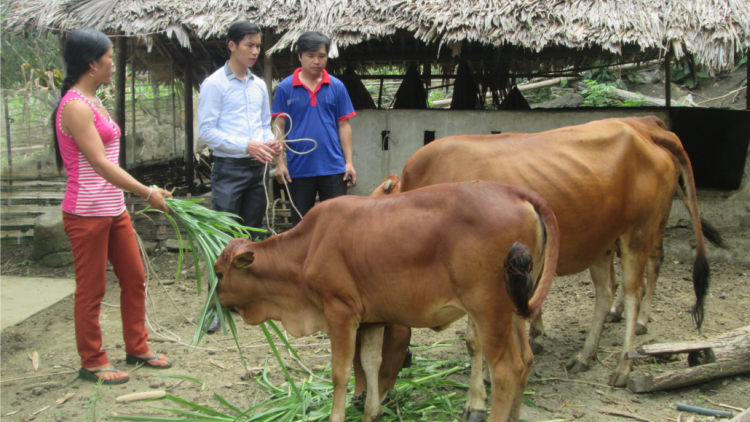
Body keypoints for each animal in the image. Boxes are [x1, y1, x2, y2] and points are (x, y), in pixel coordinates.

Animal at [214, 182, 560, 422]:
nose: (215, 300)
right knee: (526, 359)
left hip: (489, 310)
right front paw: (371, 412)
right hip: (513, 308)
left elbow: (341, 372)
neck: (307, 247)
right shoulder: (372, 320)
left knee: (507, 370)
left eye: (218, 273)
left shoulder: (339, 312)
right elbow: (371, 364)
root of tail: (514, 190)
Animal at [374, 115, 712, 406]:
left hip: (639, 234)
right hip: (601, 242)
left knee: (634, 292)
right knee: (605, 294)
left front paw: (479, 395)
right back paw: (585, 355)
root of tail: (643, 129)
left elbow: (475, 341)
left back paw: (624, 365)